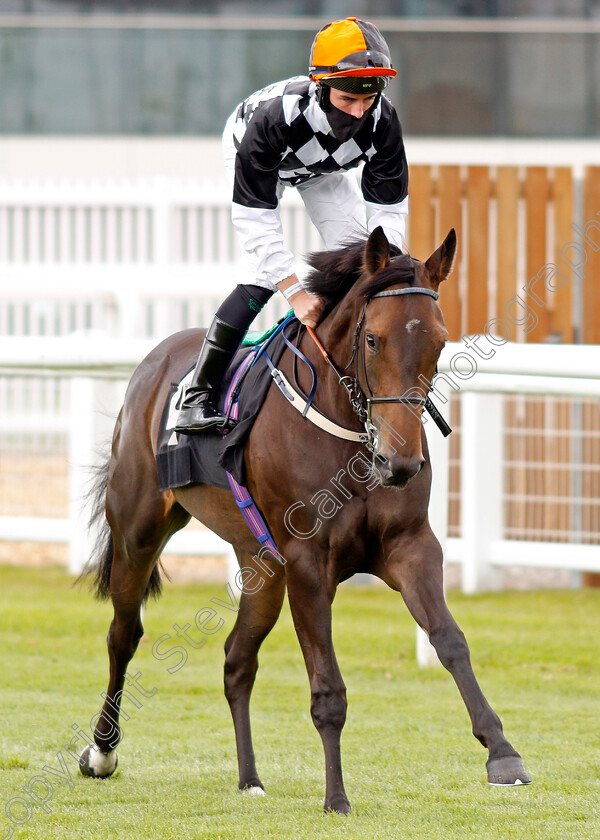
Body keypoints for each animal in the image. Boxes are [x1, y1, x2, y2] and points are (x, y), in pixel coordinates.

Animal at [78, 225, 528, 812]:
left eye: (439, 341)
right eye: (372, 340)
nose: (401, 462)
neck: (353, 437)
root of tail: (155, 360)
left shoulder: (411, 547)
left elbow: (450, 641)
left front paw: (502, 752)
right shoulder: (309, 563)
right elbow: (328, 687)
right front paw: (336, 796)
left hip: (261, 564)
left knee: (236, 659)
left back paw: (249, 777)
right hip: (140, 530)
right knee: (124, 634)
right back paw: (101, 751)